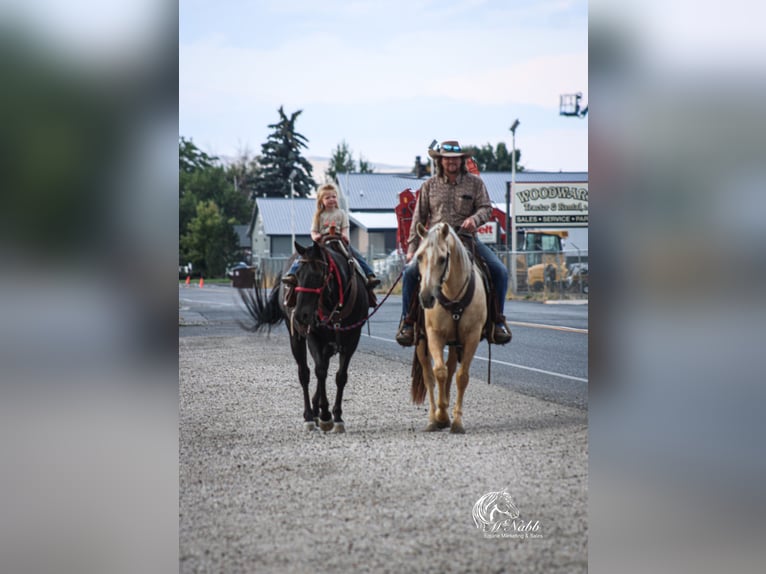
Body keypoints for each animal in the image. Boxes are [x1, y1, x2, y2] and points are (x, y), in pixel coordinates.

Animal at [239, 238, 369, 432]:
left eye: (318, 275)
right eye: (297, 275)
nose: (301, 315)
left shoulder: (352, 339)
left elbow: (340, 376)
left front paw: (337, 416)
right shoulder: (313, 336)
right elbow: (320, 371)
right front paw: (325, 415)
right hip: (296, 338)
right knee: (304, 373)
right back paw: (309, 415)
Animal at [410, 222, 488, 434]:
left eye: (443, 258)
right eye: (419, 256)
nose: (426, 297)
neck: (453, 297)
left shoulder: (472, 337)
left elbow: (461, 376)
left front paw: (457, 421)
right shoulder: (433, 335)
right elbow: (439, 372)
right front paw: (441, 416)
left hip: (454, 343)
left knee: (452, 369)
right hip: (421, 343)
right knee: (429, 376)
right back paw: (432, 418)